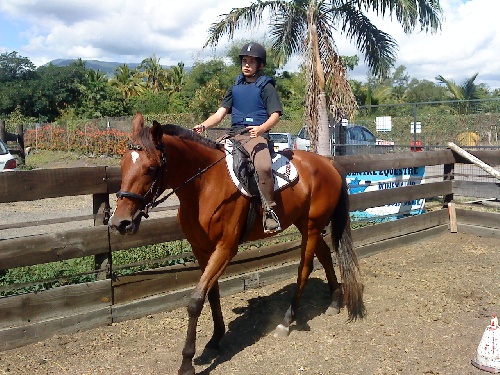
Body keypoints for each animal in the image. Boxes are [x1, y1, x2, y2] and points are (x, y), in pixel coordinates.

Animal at [109, 114, 366, 375]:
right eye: (123, 165)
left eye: (150, 168)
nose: (121, 223)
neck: (205, 186)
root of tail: (327, 162)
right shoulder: (201, 249)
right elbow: (212, 294)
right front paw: (215, 339)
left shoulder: (225, 248)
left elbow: (195, 300)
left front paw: (187, 362)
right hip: (305, 223)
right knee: (324, 255)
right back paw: (334, 300)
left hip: (312, 226)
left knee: (305, 268)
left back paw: (287, 320)